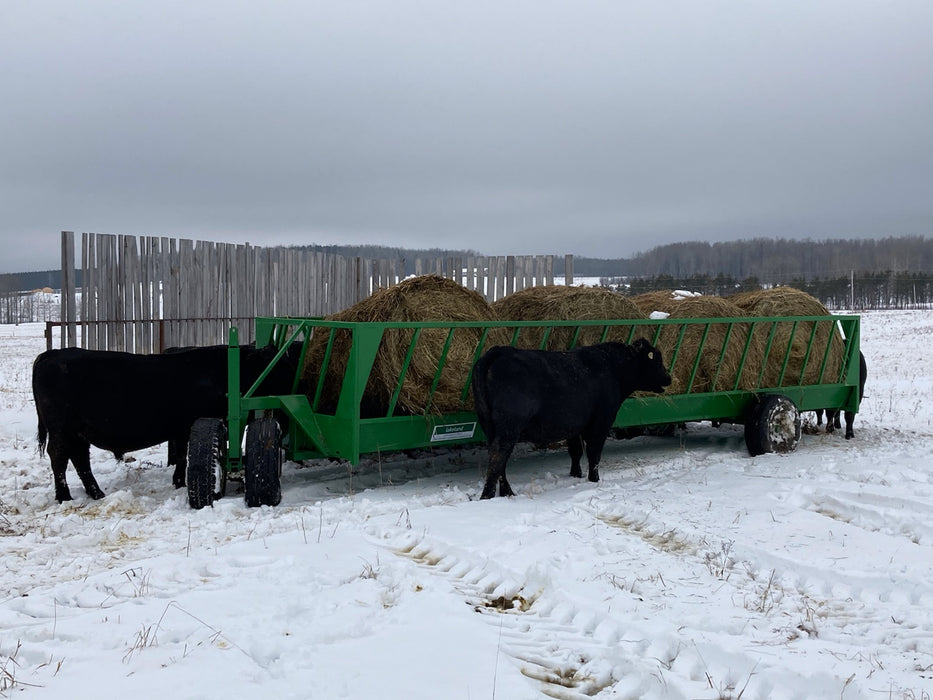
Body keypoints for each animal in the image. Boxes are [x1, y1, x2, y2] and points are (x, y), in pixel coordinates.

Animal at [32, 343, 300, 503]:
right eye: (278, 365)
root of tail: (51, 353)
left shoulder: (181, 428)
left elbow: (181, 455)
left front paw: (179, 482)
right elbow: (186, 455)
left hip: (78, 432)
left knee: (80, 459)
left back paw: (96, 492)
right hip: (62, 430)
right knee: (59, 458)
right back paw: (64, 495)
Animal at [471, 339, 672, 500]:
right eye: (658, 360)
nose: (669, 378)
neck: (612, 368)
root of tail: (499, 351)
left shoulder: (574, 425)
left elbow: (575, 451)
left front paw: (576, 474)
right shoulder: (602, 420)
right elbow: (594, 452)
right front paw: (594, 479)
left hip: (490, 425)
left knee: (499, 459)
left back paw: (507, 493)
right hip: (509, 426)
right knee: (498, 456)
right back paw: (488, 496)